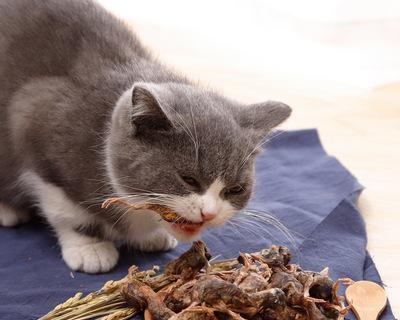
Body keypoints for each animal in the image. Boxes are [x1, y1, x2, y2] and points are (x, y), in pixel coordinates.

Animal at [1, 0, 292, 272]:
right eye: (188, 179)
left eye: (235, 189)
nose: (208, 214)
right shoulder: (34, 120)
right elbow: (67, 211)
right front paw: (90, 247)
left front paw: (151, 236)